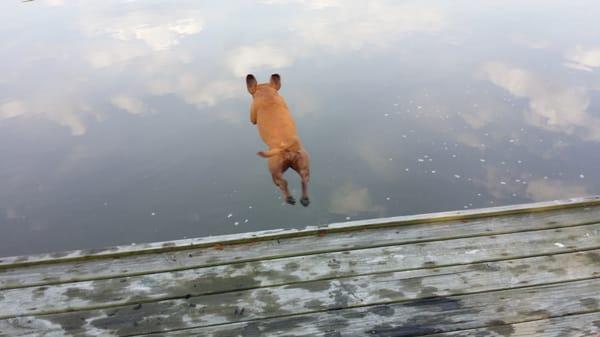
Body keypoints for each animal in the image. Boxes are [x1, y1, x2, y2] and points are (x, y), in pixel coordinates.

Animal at [245, 73, 310, 205]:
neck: (267, 94)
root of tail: (286, 148)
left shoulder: (252, 114)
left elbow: (252, 120)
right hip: (303, 162)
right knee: (304, 178)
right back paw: (305, 199)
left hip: (273, 166)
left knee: (282, 181)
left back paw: (289, 198)